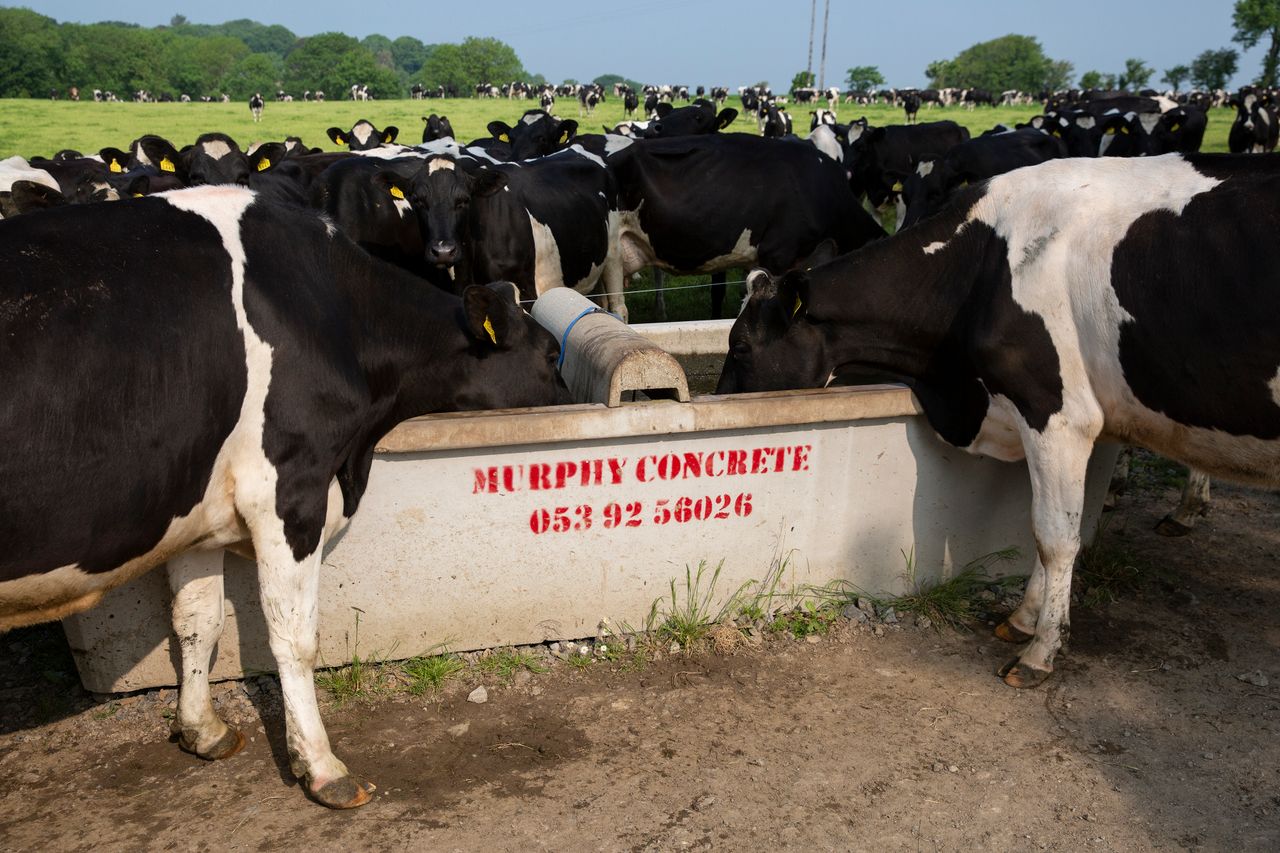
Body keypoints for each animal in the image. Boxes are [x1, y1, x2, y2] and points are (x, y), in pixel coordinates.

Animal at [0, 188, 569, 809]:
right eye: (550, 356)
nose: (570, 399)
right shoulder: (288, 488)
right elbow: (293, 638)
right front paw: (322, 767)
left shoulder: (197, 507)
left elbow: (198, 619)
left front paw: (202, 730)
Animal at [718, 153, 1280, 689]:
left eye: (740, 345)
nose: (717, 400)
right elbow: (1039, 528)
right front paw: (1024, 620)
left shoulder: (1058, 414)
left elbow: (1055, 535)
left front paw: (1039, 653)